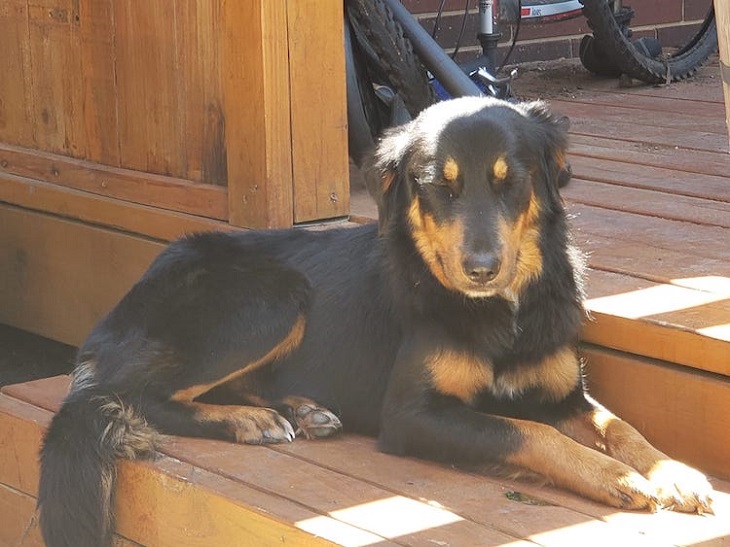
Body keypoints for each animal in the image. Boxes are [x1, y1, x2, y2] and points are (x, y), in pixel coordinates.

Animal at [35, 96, 712, 544]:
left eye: (510, 182)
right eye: (438, 188)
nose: (482, 269)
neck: (505, 313)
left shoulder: (564, 393)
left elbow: (621, 426)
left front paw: (673, 473)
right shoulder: (413, 415)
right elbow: (527, 432)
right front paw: (618, 478)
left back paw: (301, 410)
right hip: (275, 295)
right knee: (140, 396)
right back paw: (251, 420)